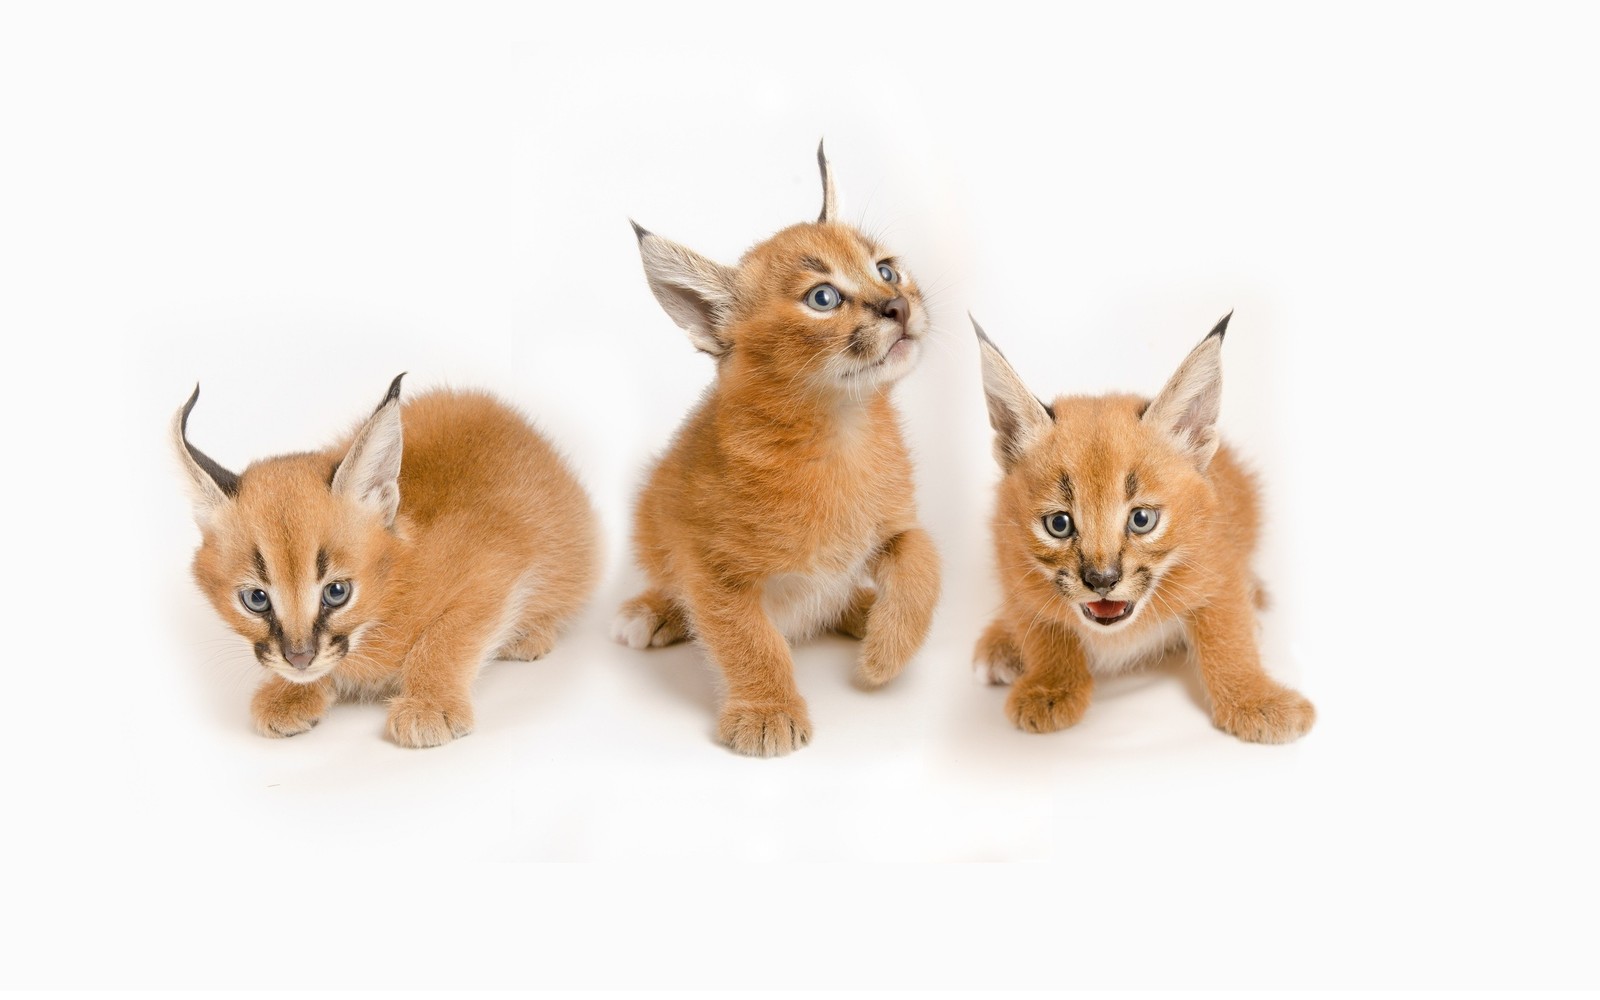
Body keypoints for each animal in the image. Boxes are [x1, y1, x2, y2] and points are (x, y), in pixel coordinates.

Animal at [173, 377, 601, 745]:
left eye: (337, 592)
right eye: (256, 599)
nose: (299, 658)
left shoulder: (494, 569)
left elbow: (447, 635)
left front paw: (429, 704)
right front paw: (291, 693)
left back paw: (530, 635)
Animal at [608, 142, 934, 755]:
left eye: (885, 269)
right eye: (822, 298)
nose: (897, 306)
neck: (840, 431)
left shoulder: (896, 523)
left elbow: (923, 559)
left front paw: (885, 654)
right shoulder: (712, 566)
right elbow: (747, 638)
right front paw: (767, 711)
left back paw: (863, 611)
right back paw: (654, 612)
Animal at [972, 312, 1312, 742]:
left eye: (1141, 519)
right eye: (1058, 524)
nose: (1101, 580)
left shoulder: (1218, 563)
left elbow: (1226, 633)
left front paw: (1255, 700)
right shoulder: (1011, 558)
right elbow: (1041, 626)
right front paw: (1051, 687)